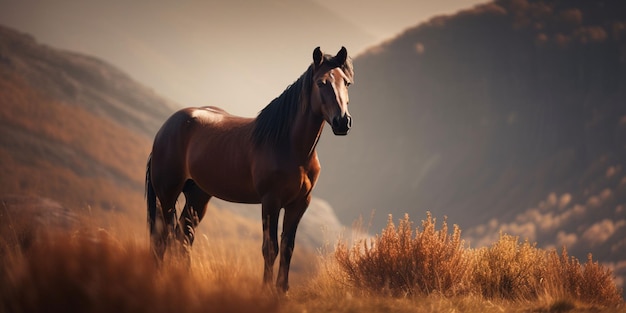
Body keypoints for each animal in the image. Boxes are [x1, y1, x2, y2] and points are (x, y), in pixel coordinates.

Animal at [145, 45, 352, 290]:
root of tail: (165, 128)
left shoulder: (299, 204)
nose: (343, 122)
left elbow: (288, 248)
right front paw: (266, 291)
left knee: (183, 236)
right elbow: (270, 249)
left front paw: (281, 291)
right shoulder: (271, 202)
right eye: (321, 83)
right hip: (168, 194)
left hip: (198, 196)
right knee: (162, 237)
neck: (289, 146)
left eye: (346, 82)